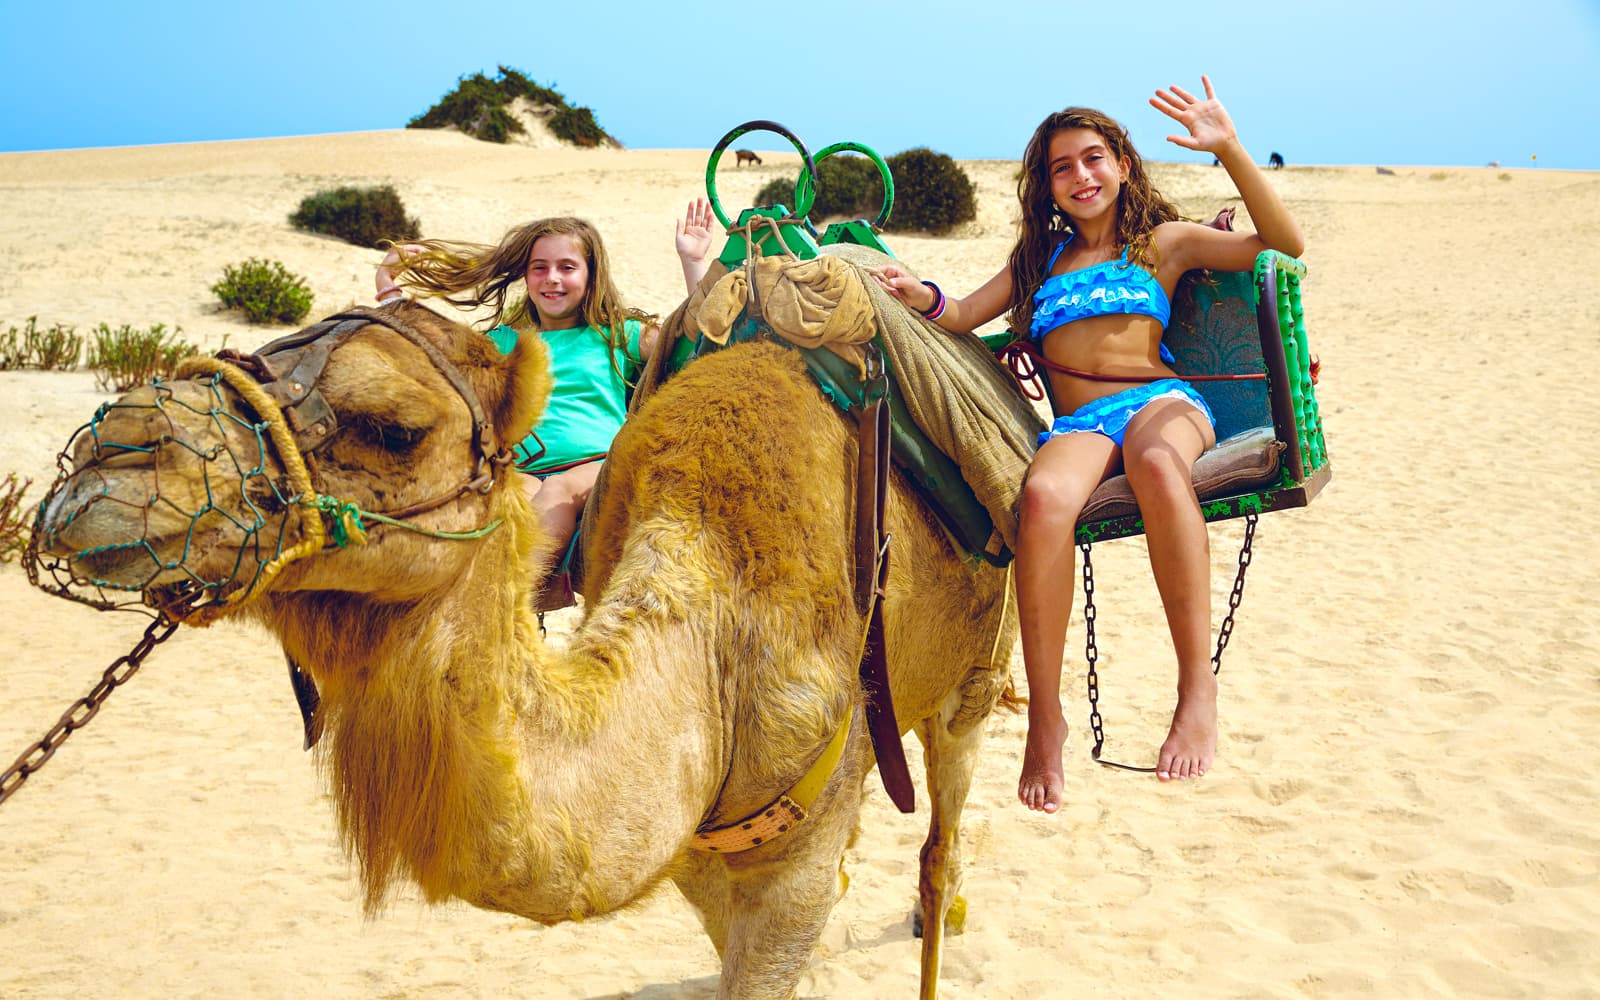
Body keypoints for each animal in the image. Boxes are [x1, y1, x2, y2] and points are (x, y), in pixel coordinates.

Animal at [32, 299, 1017, 999]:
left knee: (939, 840)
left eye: (393, 427)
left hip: (975, 674)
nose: (112, 453)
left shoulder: (792, 857)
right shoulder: (704, 855)